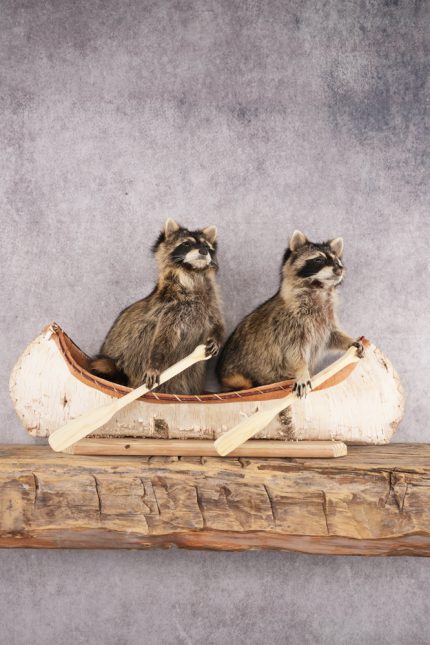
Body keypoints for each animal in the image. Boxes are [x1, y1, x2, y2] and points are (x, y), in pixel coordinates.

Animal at [90, 218, 225, 394]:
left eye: (207, 246)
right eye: (187, 244)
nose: (203, 251)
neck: (192, 274)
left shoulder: (211, 300)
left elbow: (218, 322)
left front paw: (217, 336)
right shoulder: (170, 307)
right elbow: (163, 337)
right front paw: (154, 363)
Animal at [217, 230, 363, 397]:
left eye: (338, 262)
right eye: (319, 259)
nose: (340, 270)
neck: (318, 288)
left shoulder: (327, 319)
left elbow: (333, 335)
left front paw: (349, 340)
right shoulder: (288, 323)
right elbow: (293, 352)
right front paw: (301, 370)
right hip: (236, 375)